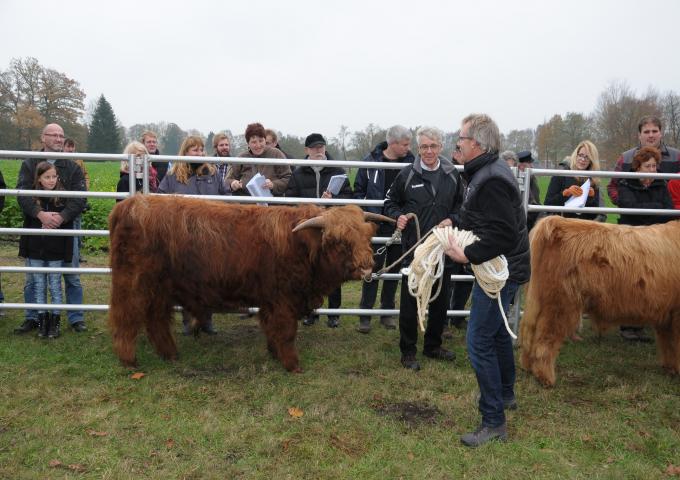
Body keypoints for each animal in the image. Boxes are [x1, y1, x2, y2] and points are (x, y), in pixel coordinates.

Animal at [108, 194, 391, 372]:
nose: (367, 266)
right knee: (126, 319)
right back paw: (129, 360)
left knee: (155, 320)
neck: (300, 246)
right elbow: (286, 332)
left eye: (366, 236)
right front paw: (292, 365)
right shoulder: (283, 299)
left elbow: (272, 330)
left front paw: (274, 353)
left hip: (160, 289)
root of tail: (130, 204)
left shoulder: (270, 301)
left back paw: (170, 355)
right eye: (338, 241)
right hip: (133, 283)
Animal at [520, 215, 680, 387]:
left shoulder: (667, 315)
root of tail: (557, 221)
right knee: (545, 340)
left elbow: (668, 344)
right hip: (560, 305)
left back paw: (528, 368)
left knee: (531, 337)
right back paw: (546, 378)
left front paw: (671, 368)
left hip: (539, 303)